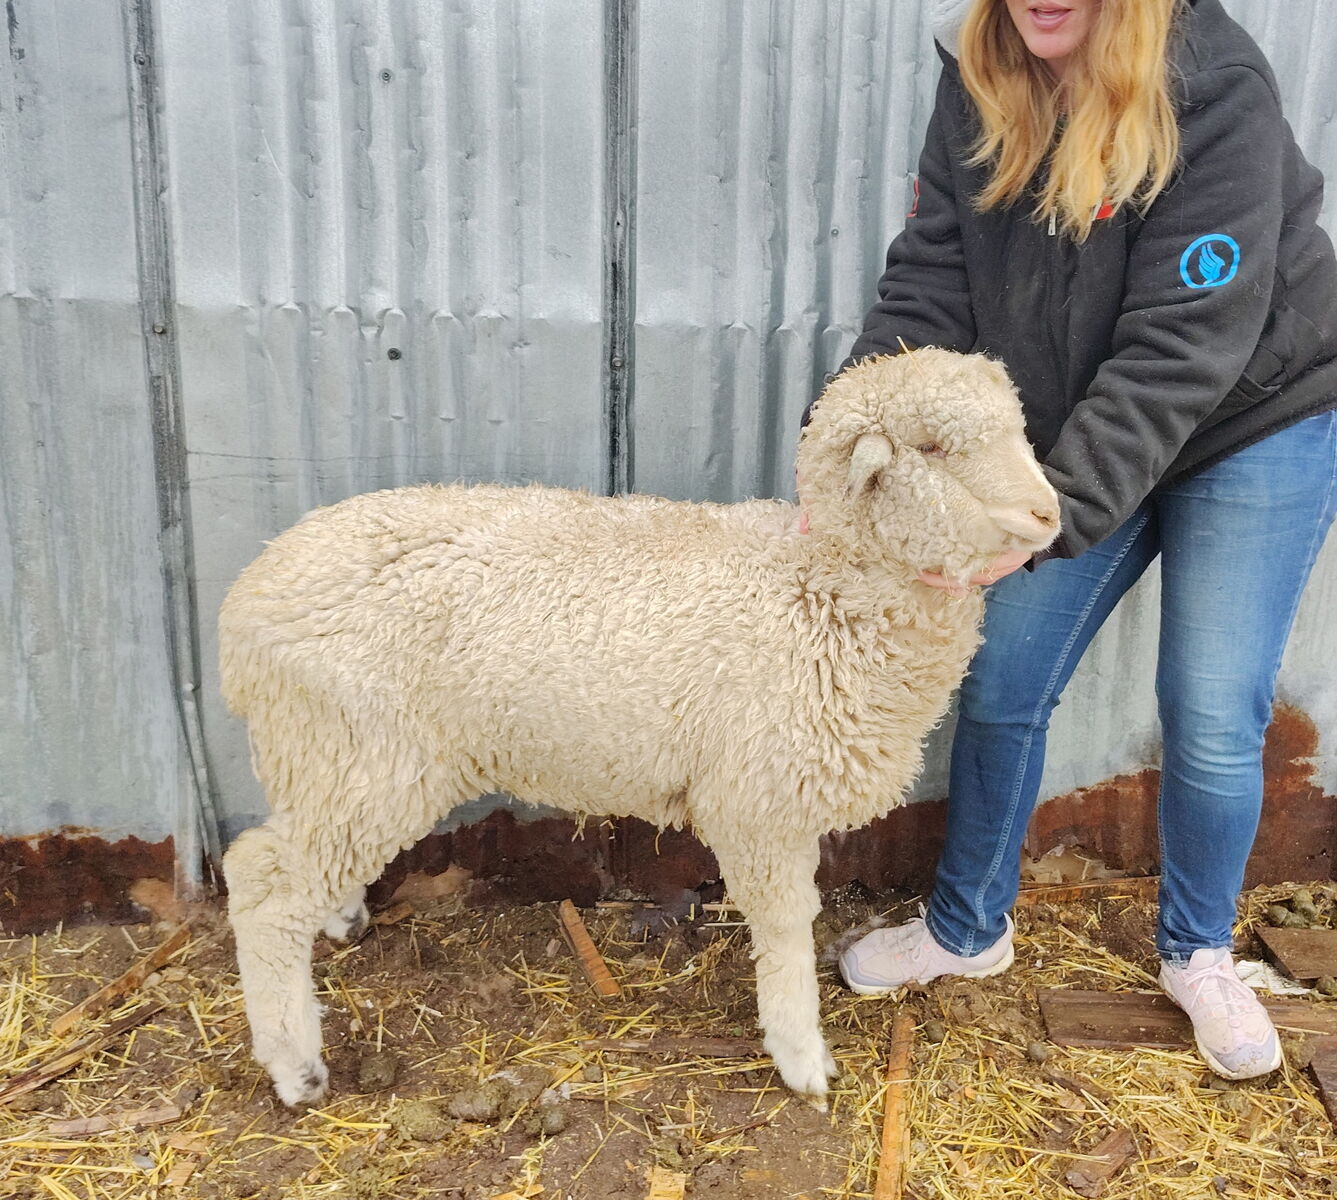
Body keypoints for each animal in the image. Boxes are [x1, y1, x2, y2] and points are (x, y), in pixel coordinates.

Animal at [219, 348, 1060, 1109]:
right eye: (932, 448)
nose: (1050, 514)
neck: (819, 583)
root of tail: (246, 600)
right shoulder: (757, 800)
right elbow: (786, 928)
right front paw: (799, 1055)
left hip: (328, 760)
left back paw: (337, 919)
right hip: (363, 750)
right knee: (260, 885)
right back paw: (295, 1067)